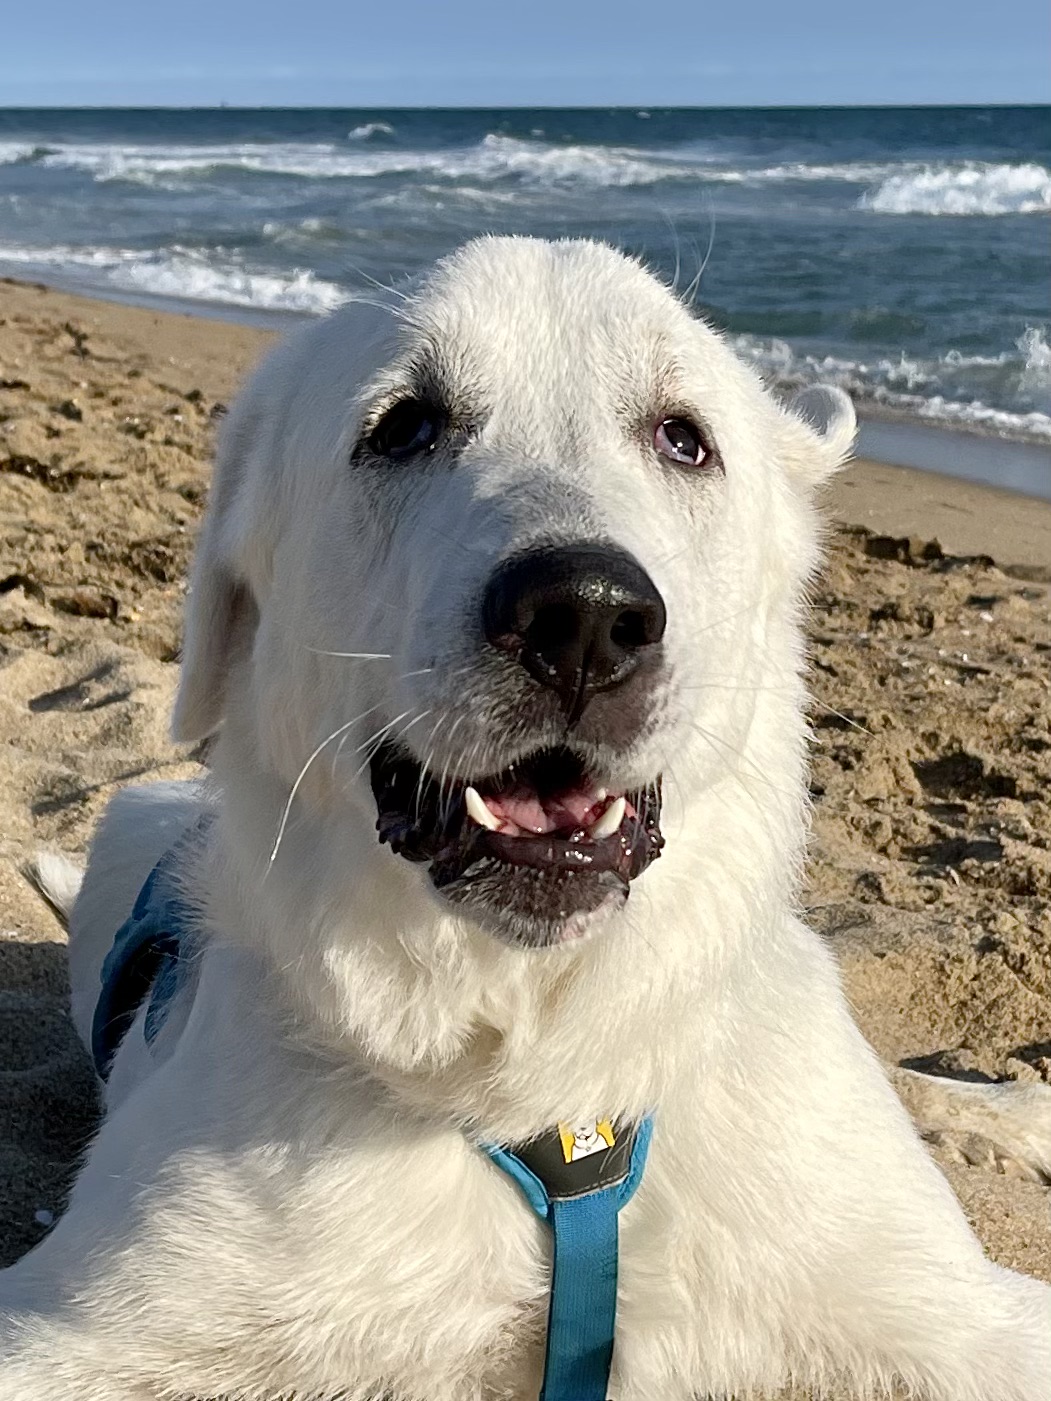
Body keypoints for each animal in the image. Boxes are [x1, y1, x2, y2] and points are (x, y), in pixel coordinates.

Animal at [2, 235, 1051, 1395]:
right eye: (403, 426)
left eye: (682, 438)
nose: (583, 616)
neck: (549, 1082)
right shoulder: (76, 1324)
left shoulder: (963, 1313)